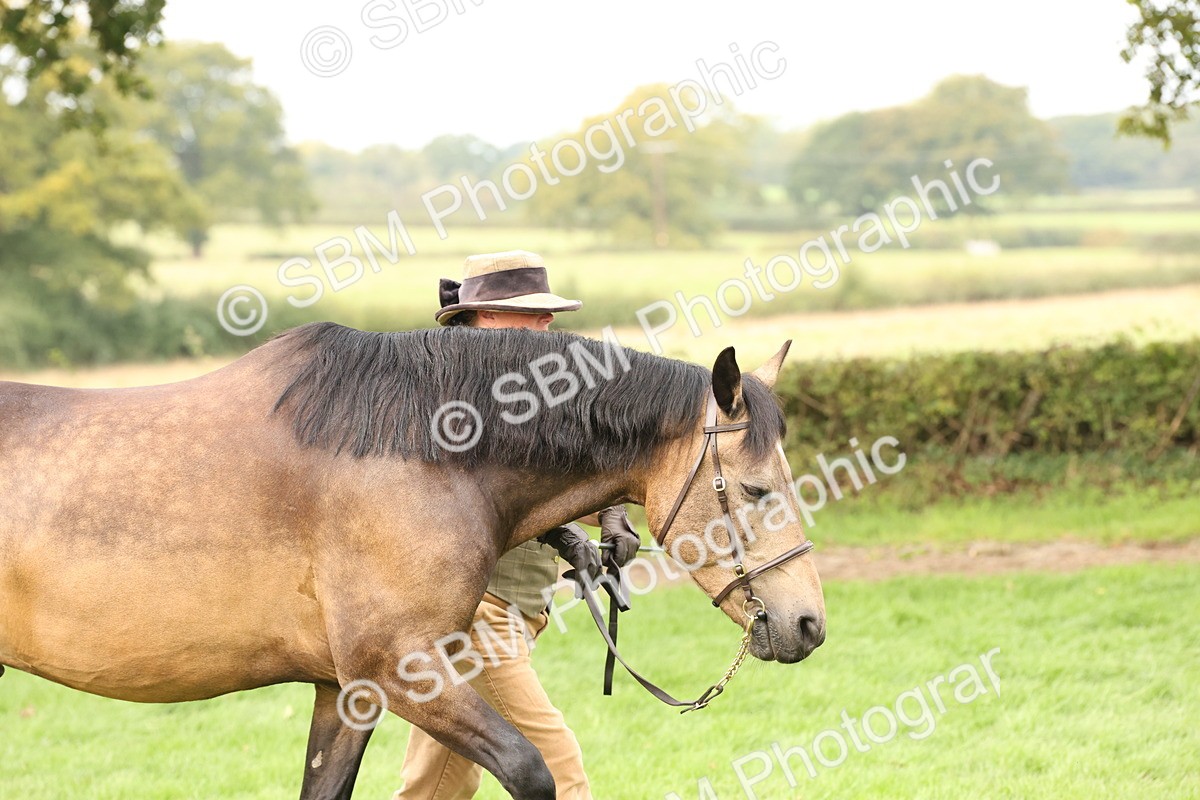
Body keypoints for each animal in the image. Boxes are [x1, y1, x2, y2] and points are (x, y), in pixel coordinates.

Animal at [0, 322, 825, 799]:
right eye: (755, 488)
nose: (808, 624)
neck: (422, 455)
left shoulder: (347, 692)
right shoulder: (402, 670)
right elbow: (530, 771)